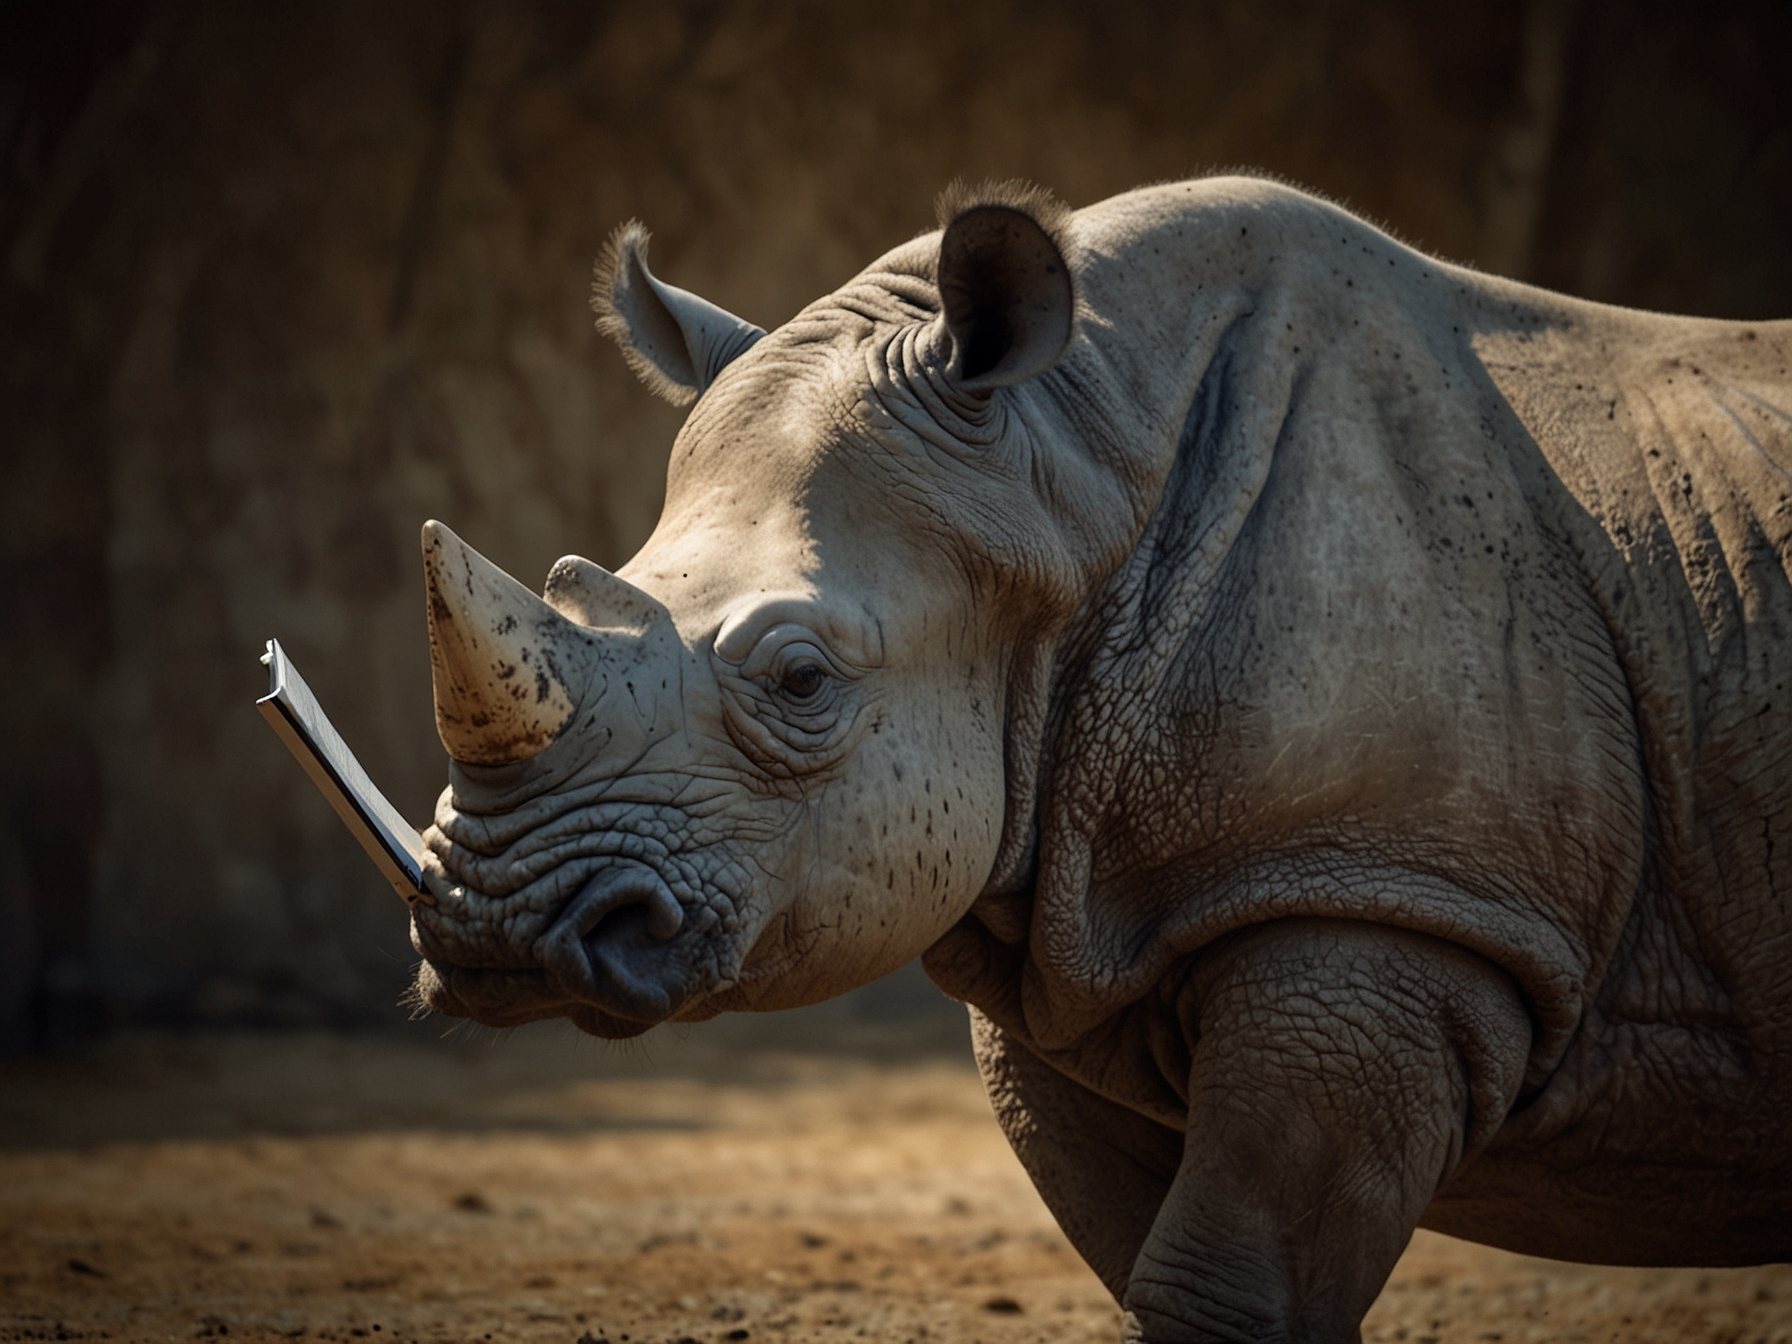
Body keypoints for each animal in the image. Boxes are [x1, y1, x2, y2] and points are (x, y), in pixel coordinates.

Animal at [406, 176, 1792, 1341]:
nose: (495, 925)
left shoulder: (1386, 901)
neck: (1072, 475)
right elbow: (1161, 1270)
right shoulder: (1077, 944)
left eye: (800, 680)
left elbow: (1224, 1290)